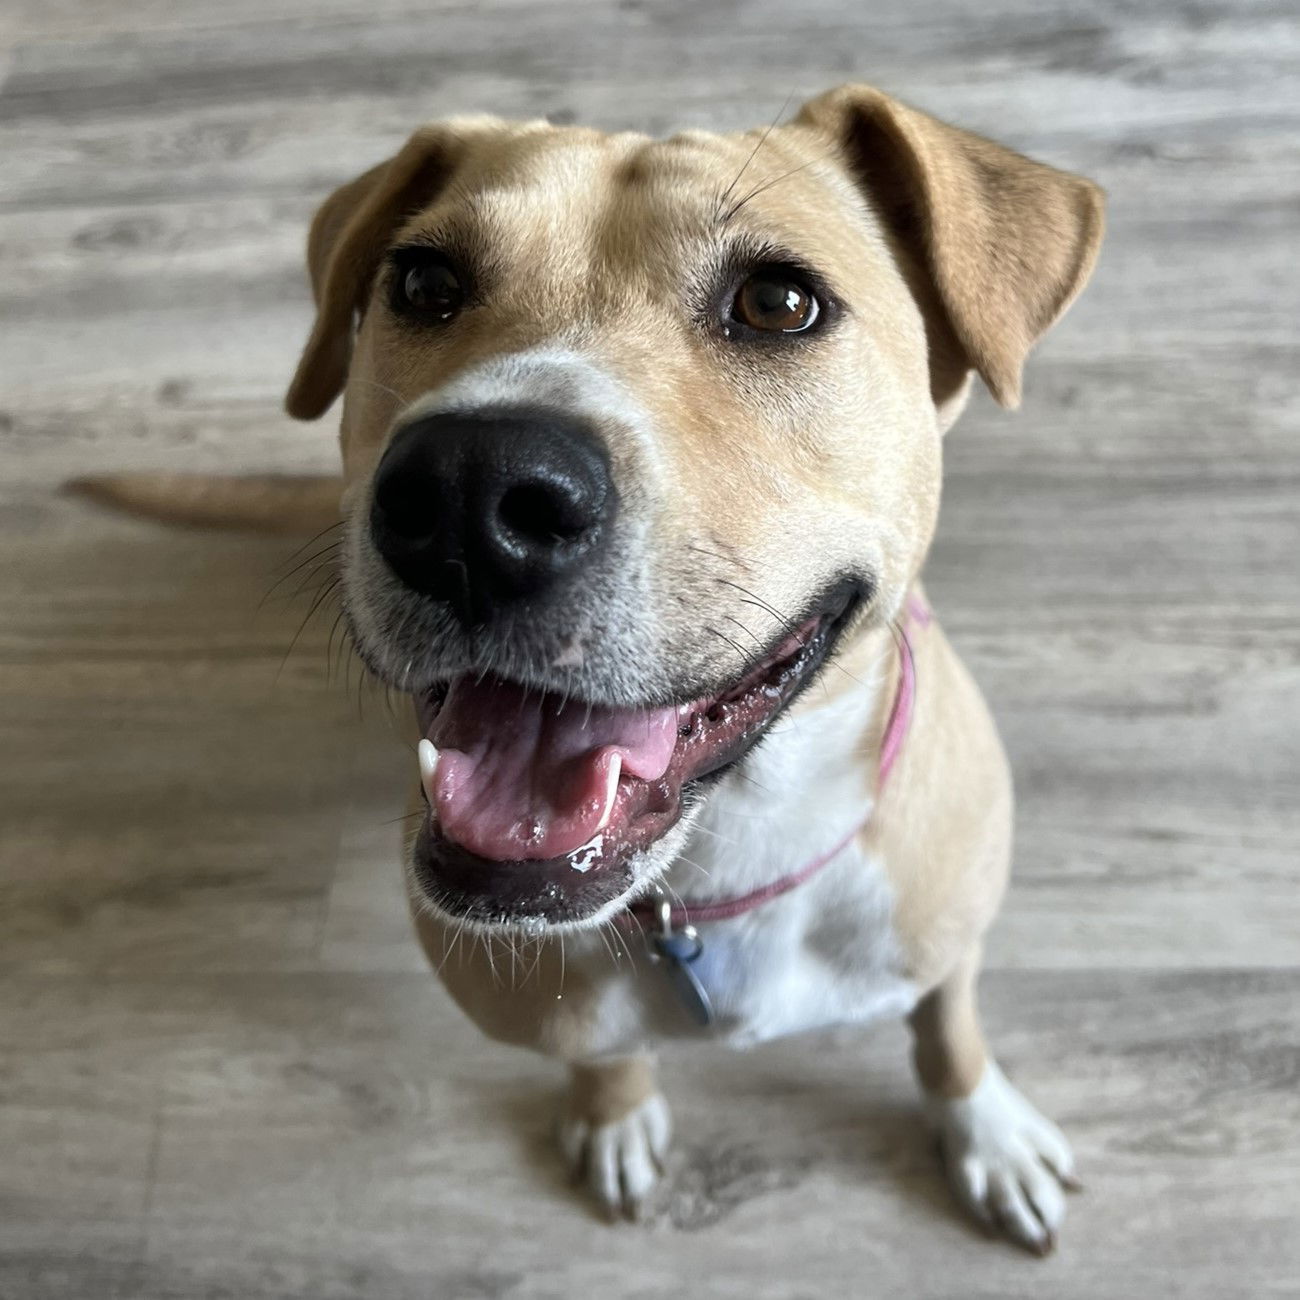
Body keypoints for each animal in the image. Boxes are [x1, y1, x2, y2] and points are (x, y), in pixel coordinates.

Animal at [83, 81, 1107, 1248]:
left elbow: (948, 1026)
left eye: (778, 303)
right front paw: (614, 1113)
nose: (468, 494)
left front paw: (985, 1126)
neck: (717, 874)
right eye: (423, 282)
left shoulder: (946, 934)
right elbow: (604, 1053)